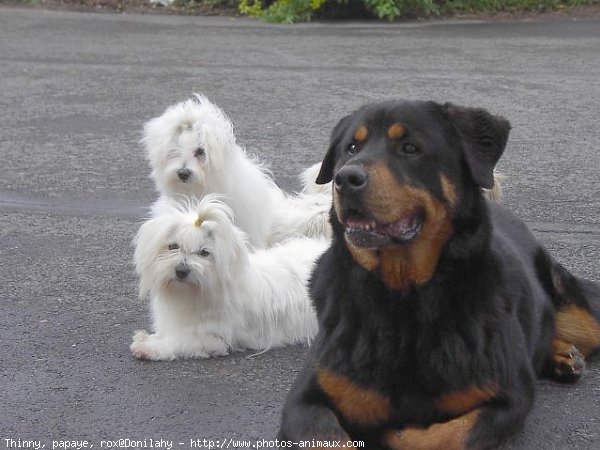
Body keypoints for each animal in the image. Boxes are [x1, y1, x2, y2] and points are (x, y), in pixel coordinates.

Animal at [131, 199, 328, 360]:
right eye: (173, 246)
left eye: (204, 252)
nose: (181, 270)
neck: (194, 294)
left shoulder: (212, 338)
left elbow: (179, 342)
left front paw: (149, 347)